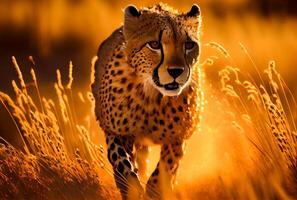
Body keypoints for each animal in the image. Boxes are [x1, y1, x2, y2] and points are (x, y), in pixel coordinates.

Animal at [91, 3, 202, 200]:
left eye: (189, 45)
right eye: (155, 44)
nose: (176, 71)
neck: (153, 95)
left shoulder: (179, 136)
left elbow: (166, 166)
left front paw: (155, 190)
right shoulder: (116, 131)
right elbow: (123, 163)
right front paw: (133, 188)